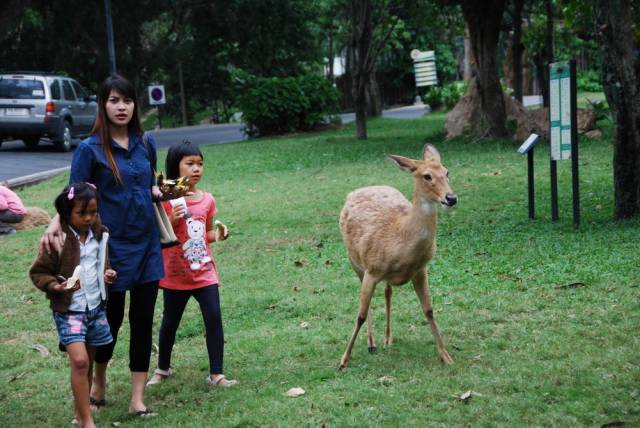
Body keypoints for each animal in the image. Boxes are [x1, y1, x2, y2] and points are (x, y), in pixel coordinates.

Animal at [338, 144, 458, 368]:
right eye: (427, 176)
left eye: (447, 172)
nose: (451, 198)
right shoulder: (371, 269)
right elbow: (360, 314)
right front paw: (343, 360)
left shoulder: (421, 270)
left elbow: (429, 310)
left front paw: (446, 356)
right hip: (354, 261)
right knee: (368, 301)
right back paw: (372, 343)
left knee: (388, 292)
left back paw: (387, 338)